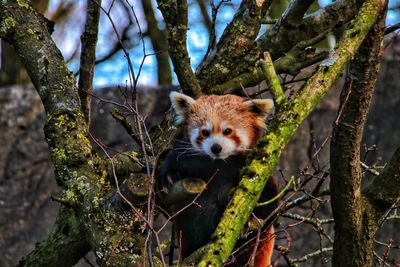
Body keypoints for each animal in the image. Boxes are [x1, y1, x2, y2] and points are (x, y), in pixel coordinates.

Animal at [156, 92, 278, 267]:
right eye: (205, 132)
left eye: (227, 131)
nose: (216, 148)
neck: (219, 164)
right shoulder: (184, 158)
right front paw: (168, 177)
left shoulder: (259, 170)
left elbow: (270, 206)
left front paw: (248, 220)